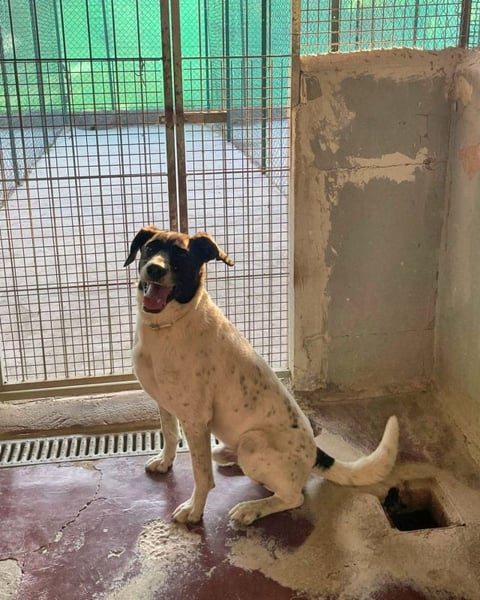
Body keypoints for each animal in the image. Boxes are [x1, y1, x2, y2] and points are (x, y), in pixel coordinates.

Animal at [124, 226, 399, 526]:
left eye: (182, 256)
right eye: (151, 248)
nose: (154, 269)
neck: (167, 325)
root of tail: (315, 453)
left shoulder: (196, 419)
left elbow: (201, 475)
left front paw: (194, 509)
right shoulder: (165, 403)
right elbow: (170, 434)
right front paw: (165, 462)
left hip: (252, 443)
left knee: (293, 496)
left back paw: (252, 508)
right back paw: (227, 455)